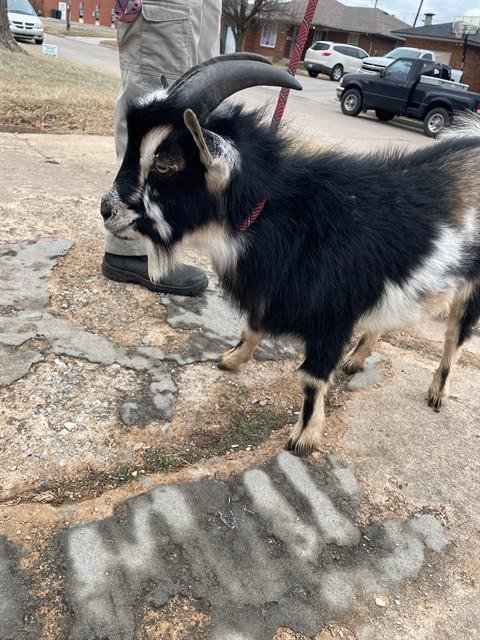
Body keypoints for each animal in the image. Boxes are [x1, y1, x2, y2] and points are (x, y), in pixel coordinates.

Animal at [101, 54, 480, 455]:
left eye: (165, 164)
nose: (106, 210)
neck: (278, 214)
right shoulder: (272, 291)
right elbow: (252, 327)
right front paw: (232, 360)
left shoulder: (333, 316)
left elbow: (312, 378)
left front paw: (304, 436)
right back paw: (356, 359)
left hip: (470, 288)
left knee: (454, 338)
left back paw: (437, 392)